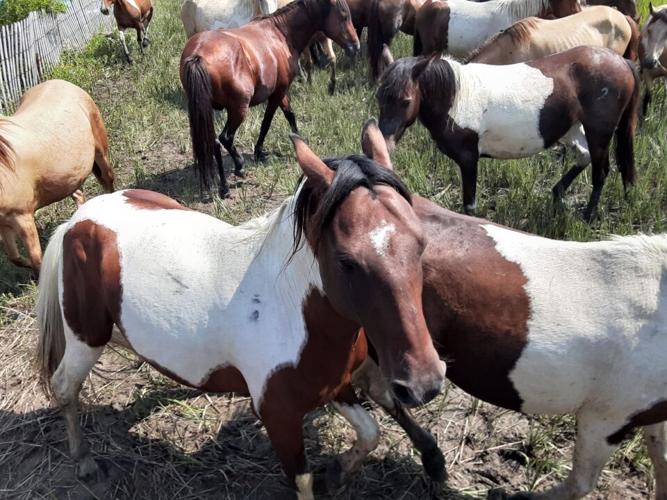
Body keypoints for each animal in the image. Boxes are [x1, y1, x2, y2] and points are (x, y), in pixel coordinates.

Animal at [0, 80, 114, 277]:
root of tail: (62, 82)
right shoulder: (4, 224)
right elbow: (15, 258)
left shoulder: (23, 218)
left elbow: (37, 261)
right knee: (78, 194)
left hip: (101, 154)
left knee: (108, 182)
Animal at [35, 129, 446, 499]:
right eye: (347, 261)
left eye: (422, 242)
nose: (424, 383)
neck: (290, 309)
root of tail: (78, 220)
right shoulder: (279, 416)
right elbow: (303, 482)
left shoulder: (337, 385)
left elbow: (370, 432)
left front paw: (339, 472)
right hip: (87, 337)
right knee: (64, 386)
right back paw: (84, 461)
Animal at [180, 0, 359, 198]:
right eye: (344, 16)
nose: (356, 46)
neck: (280, 33)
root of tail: (198, 55)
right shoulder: (278, 92)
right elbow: (269, 121)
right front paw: (262, 151)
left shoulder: (280, 92)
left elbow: (288, 115)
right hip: (238, 109)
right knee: (224, 139)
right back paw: (234, 173)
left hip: (206, 110)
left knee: (214, 142)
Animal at [376, 47, 640, 221]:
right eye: (379, 97)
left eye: (405, 100)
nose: (384, 143)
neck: (456, 96)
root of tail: (622, 61)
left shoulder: (469, 158)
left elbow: (469, 206)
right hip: (572, 128)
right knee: (584, 156)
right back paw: (557, 194)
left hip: (599, 132)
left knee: (601, 171)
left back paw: (588, 216)